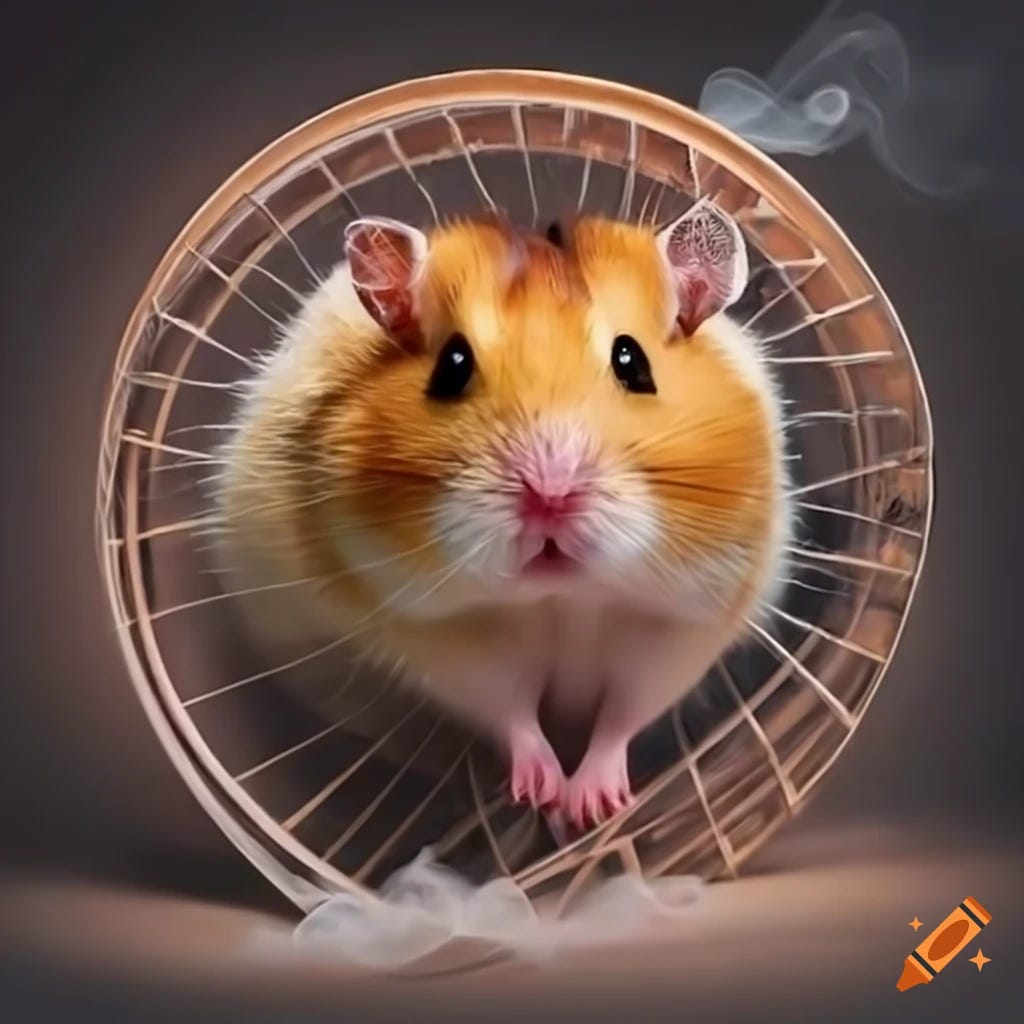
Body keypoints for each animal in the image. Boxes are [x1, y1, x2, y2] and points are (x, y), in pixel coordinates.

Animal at [215, 201, 791, 831]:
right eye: (452, 365)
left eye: (632, 361)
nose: (550, 495)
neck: (566, 600)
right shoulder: (445, 637)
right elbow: (508, 709)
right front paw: (542, 792)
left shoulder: (679, 629)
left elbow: (624, 713)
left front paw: (591, 806)